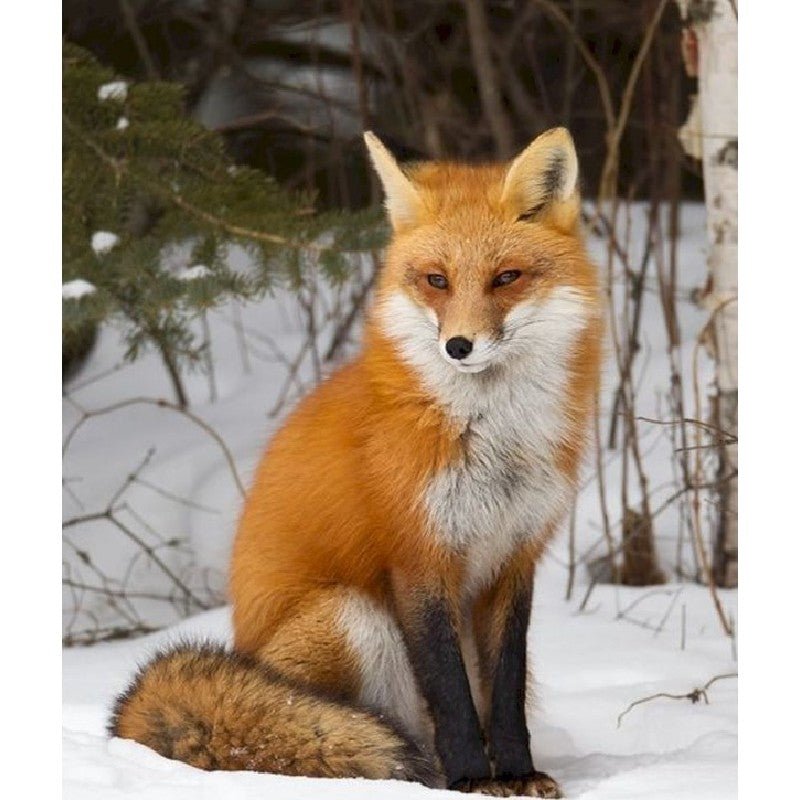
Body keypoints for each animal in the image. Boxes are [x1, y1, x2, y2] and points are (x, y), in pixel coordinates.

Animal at [109, 127, 603, 797]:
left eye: (507, 277)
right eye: (436, 280)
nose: (458, 346)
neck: (491, 436)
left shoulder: (513, 558)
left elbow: (501, 696)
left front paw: (517, 773)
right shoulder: (417, 557)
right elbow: (452, 695)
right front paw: (473, 781)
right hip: (352, 616)